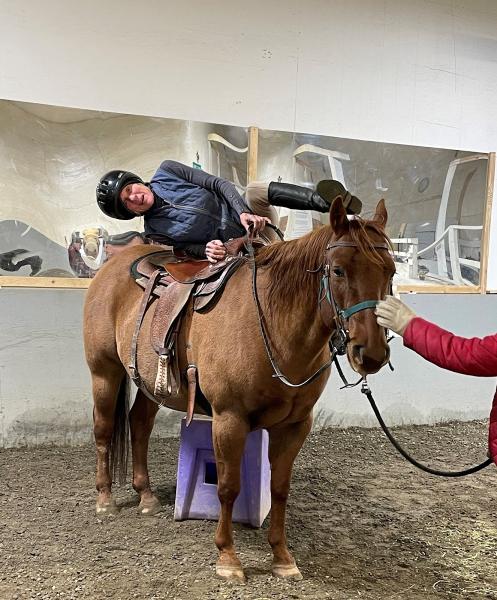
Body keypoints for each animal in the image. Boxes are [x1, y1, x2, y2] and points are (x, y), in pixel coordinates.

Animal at [83, 197, 394, 580]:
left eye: (390, 272)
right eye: (337, 271)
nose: (372, 353)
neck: (273, 326)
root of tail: (110, 269)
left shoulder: (295, 426)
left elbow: (279, 488)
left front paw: (282, 556)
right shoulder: (229, 419)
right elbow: (228, 487)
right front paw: (227, 557)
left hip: (150, 382)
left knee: (140, 424)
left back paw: (146, 496)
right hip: (104, 372)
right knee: (103, 429)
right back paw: (105, 500)